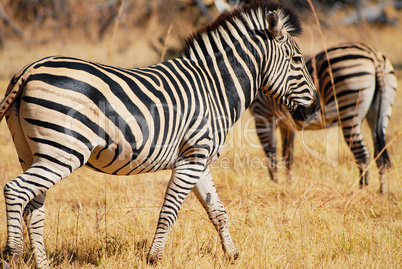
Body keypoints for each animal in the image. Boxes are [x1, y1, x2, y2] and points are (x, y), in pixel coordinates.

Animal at [0, 2, 320, 268]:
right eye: (297, 59)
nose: (315, 108)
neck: (214, 87)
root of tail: (29, 69)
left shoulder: (199, 159)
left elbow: (217, 210)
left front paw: (232, 254)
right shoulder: (192, 158)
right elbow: (169, 210)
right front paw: (154, 258)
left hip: (31, 152)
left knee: (34, 208)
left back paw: (42, 264)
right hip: (63, 151)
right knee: (16, 190)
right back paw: (13, 254)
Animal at [250, 42, 398, 192]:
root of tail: (374, 55)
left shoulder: (262, 114)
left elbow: (271, 156)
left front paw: (275, 186)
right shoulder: (286, 124)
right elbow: (288, 157)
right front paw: (288, 186)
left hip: (348, 107)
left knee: (363, 154)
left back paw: (362, 191)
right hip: (380, 112)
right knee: (379, 154)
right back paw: (381, 192)